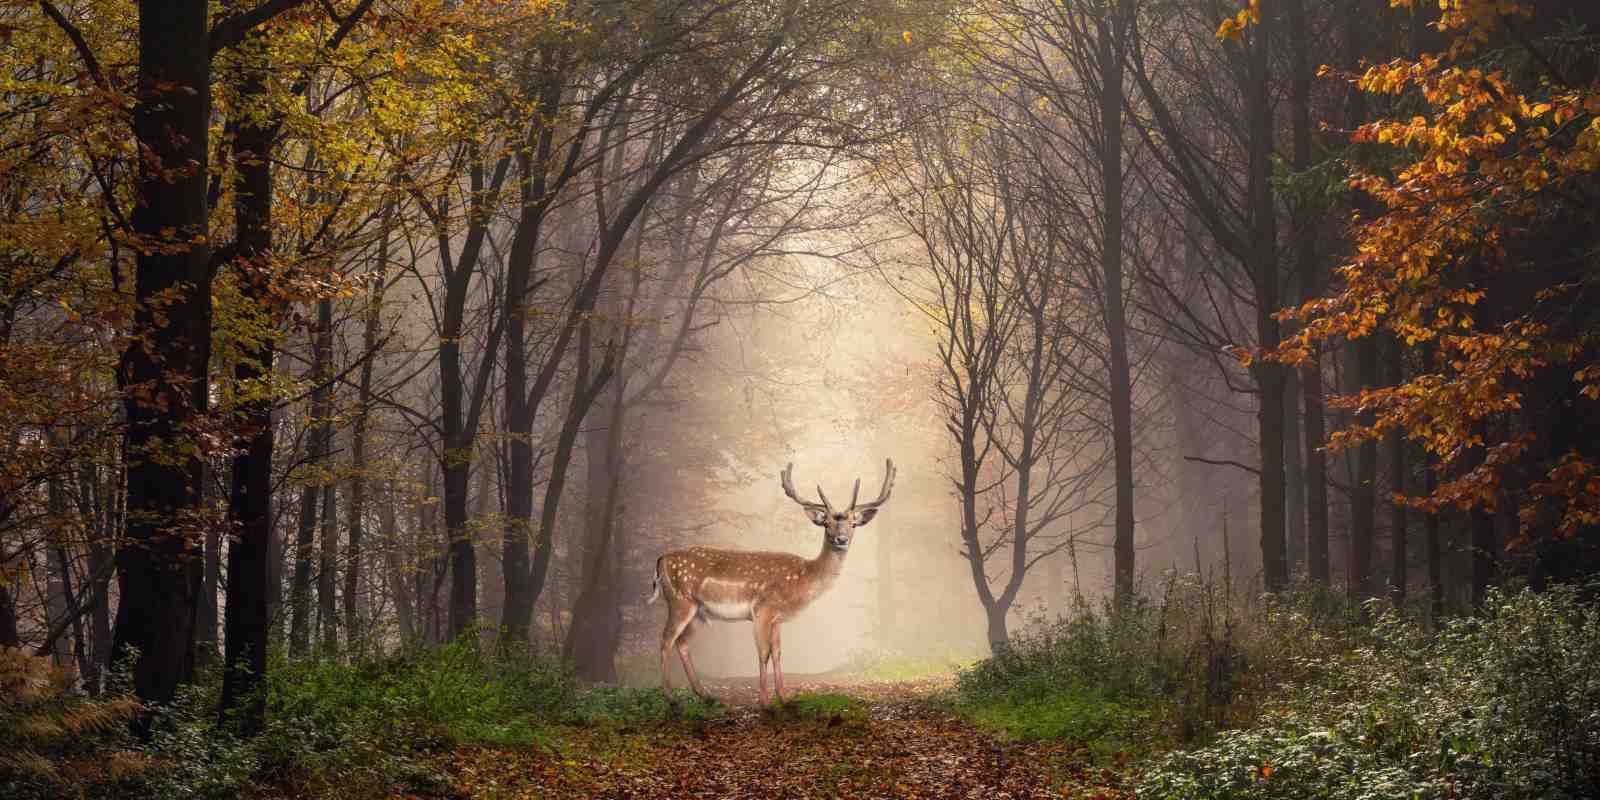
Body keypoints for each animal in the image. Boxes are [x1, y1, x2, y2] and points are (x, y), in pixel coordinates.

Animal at [646, 459, 896, 705]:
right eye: (826, 524)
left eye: (853, 524)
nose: (841, 539)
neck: (801, 580)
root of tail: (661, 559)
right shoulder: (762, 609)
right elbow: (763, 652)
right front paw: (765, 701)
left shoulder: (777, 617)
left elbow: (777, 653)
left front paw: (784, 696)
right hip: (680, 600)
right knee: (666, 639)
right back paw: (670, 695)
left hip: (698, 610)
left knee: (682, 643)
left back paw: (704, 694)